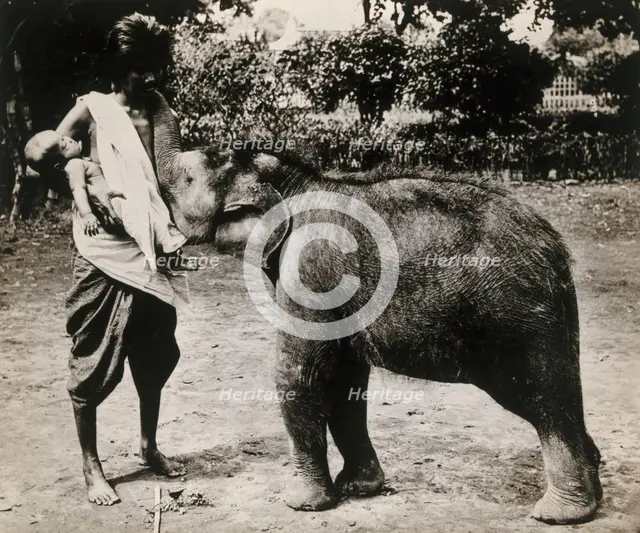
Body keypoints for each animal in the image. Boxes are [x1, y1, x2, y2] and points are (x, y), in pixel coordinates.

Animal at [150, 92, 602, 525]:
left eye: (187, 178)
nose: (146, 80)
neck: (298, 180)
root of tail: (555, 246)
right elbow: (346, 379)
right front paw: (359, 488)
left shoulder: (312, 267)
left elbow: (298, 372)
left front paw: (301, 505)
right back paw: (592, 493)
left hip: (515, 318)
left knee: (541, 397)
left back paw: (559, 514)